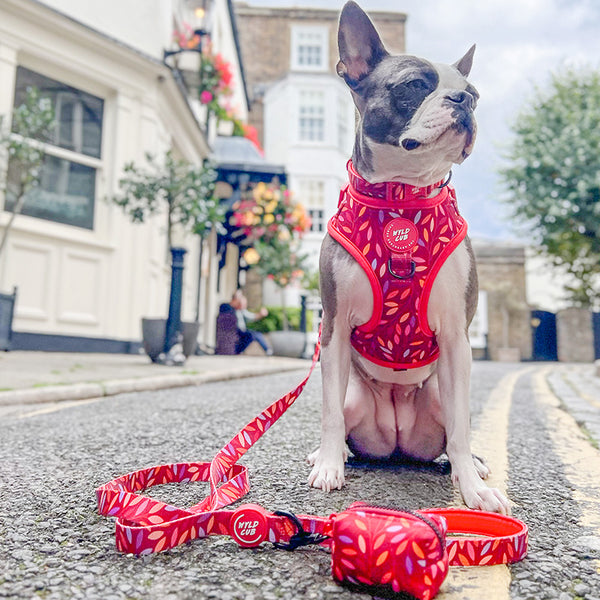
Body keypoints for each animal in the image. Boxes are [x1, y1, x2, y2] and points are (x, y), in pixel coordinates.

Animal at [310, 1, 510, 516]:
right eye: (415, 85)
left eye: (475, 95)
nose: (464, 101)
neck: (402, 198)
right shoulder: (333, 329)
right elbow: (327, 412)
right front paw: (328, 466)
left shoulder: (458, 337)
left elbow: (460, 429)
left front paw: (472, 490)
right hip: (355, 397)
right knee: (341, 415)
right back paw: (331, 453)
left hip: (440, 392)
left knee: (455, 432)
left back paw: (472, 464)